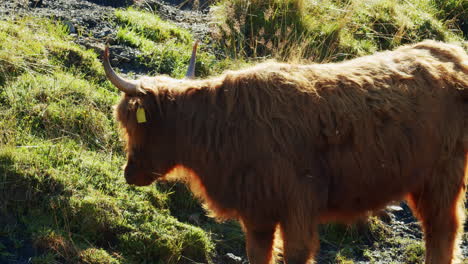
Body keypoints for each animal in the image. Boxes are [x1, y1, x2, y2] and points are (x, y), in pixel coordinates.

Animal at [105, 41, 468, 264]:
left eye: (133, 124)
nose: (129, 173)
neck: (224, 127)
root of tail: (449, 52)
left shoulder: (297, 206)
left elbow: (295, 253)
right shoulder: (258, 211)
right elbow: (258, 254)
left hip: (442, 179)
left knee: (443, 231)